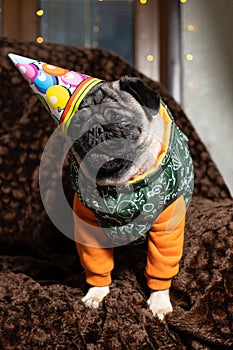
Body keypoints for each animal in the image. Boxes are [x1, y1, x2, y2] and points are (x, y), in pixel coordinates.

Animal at [66, 76, 194, 320]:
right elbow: (97, 265)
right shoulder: (88, 228)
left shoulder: (166, 230)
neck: (120, 186)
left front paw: (159, 303)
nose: (95, 130)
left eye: (121, 122)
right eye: (77, 126)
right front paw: (97, 294)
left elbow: (161, 269)